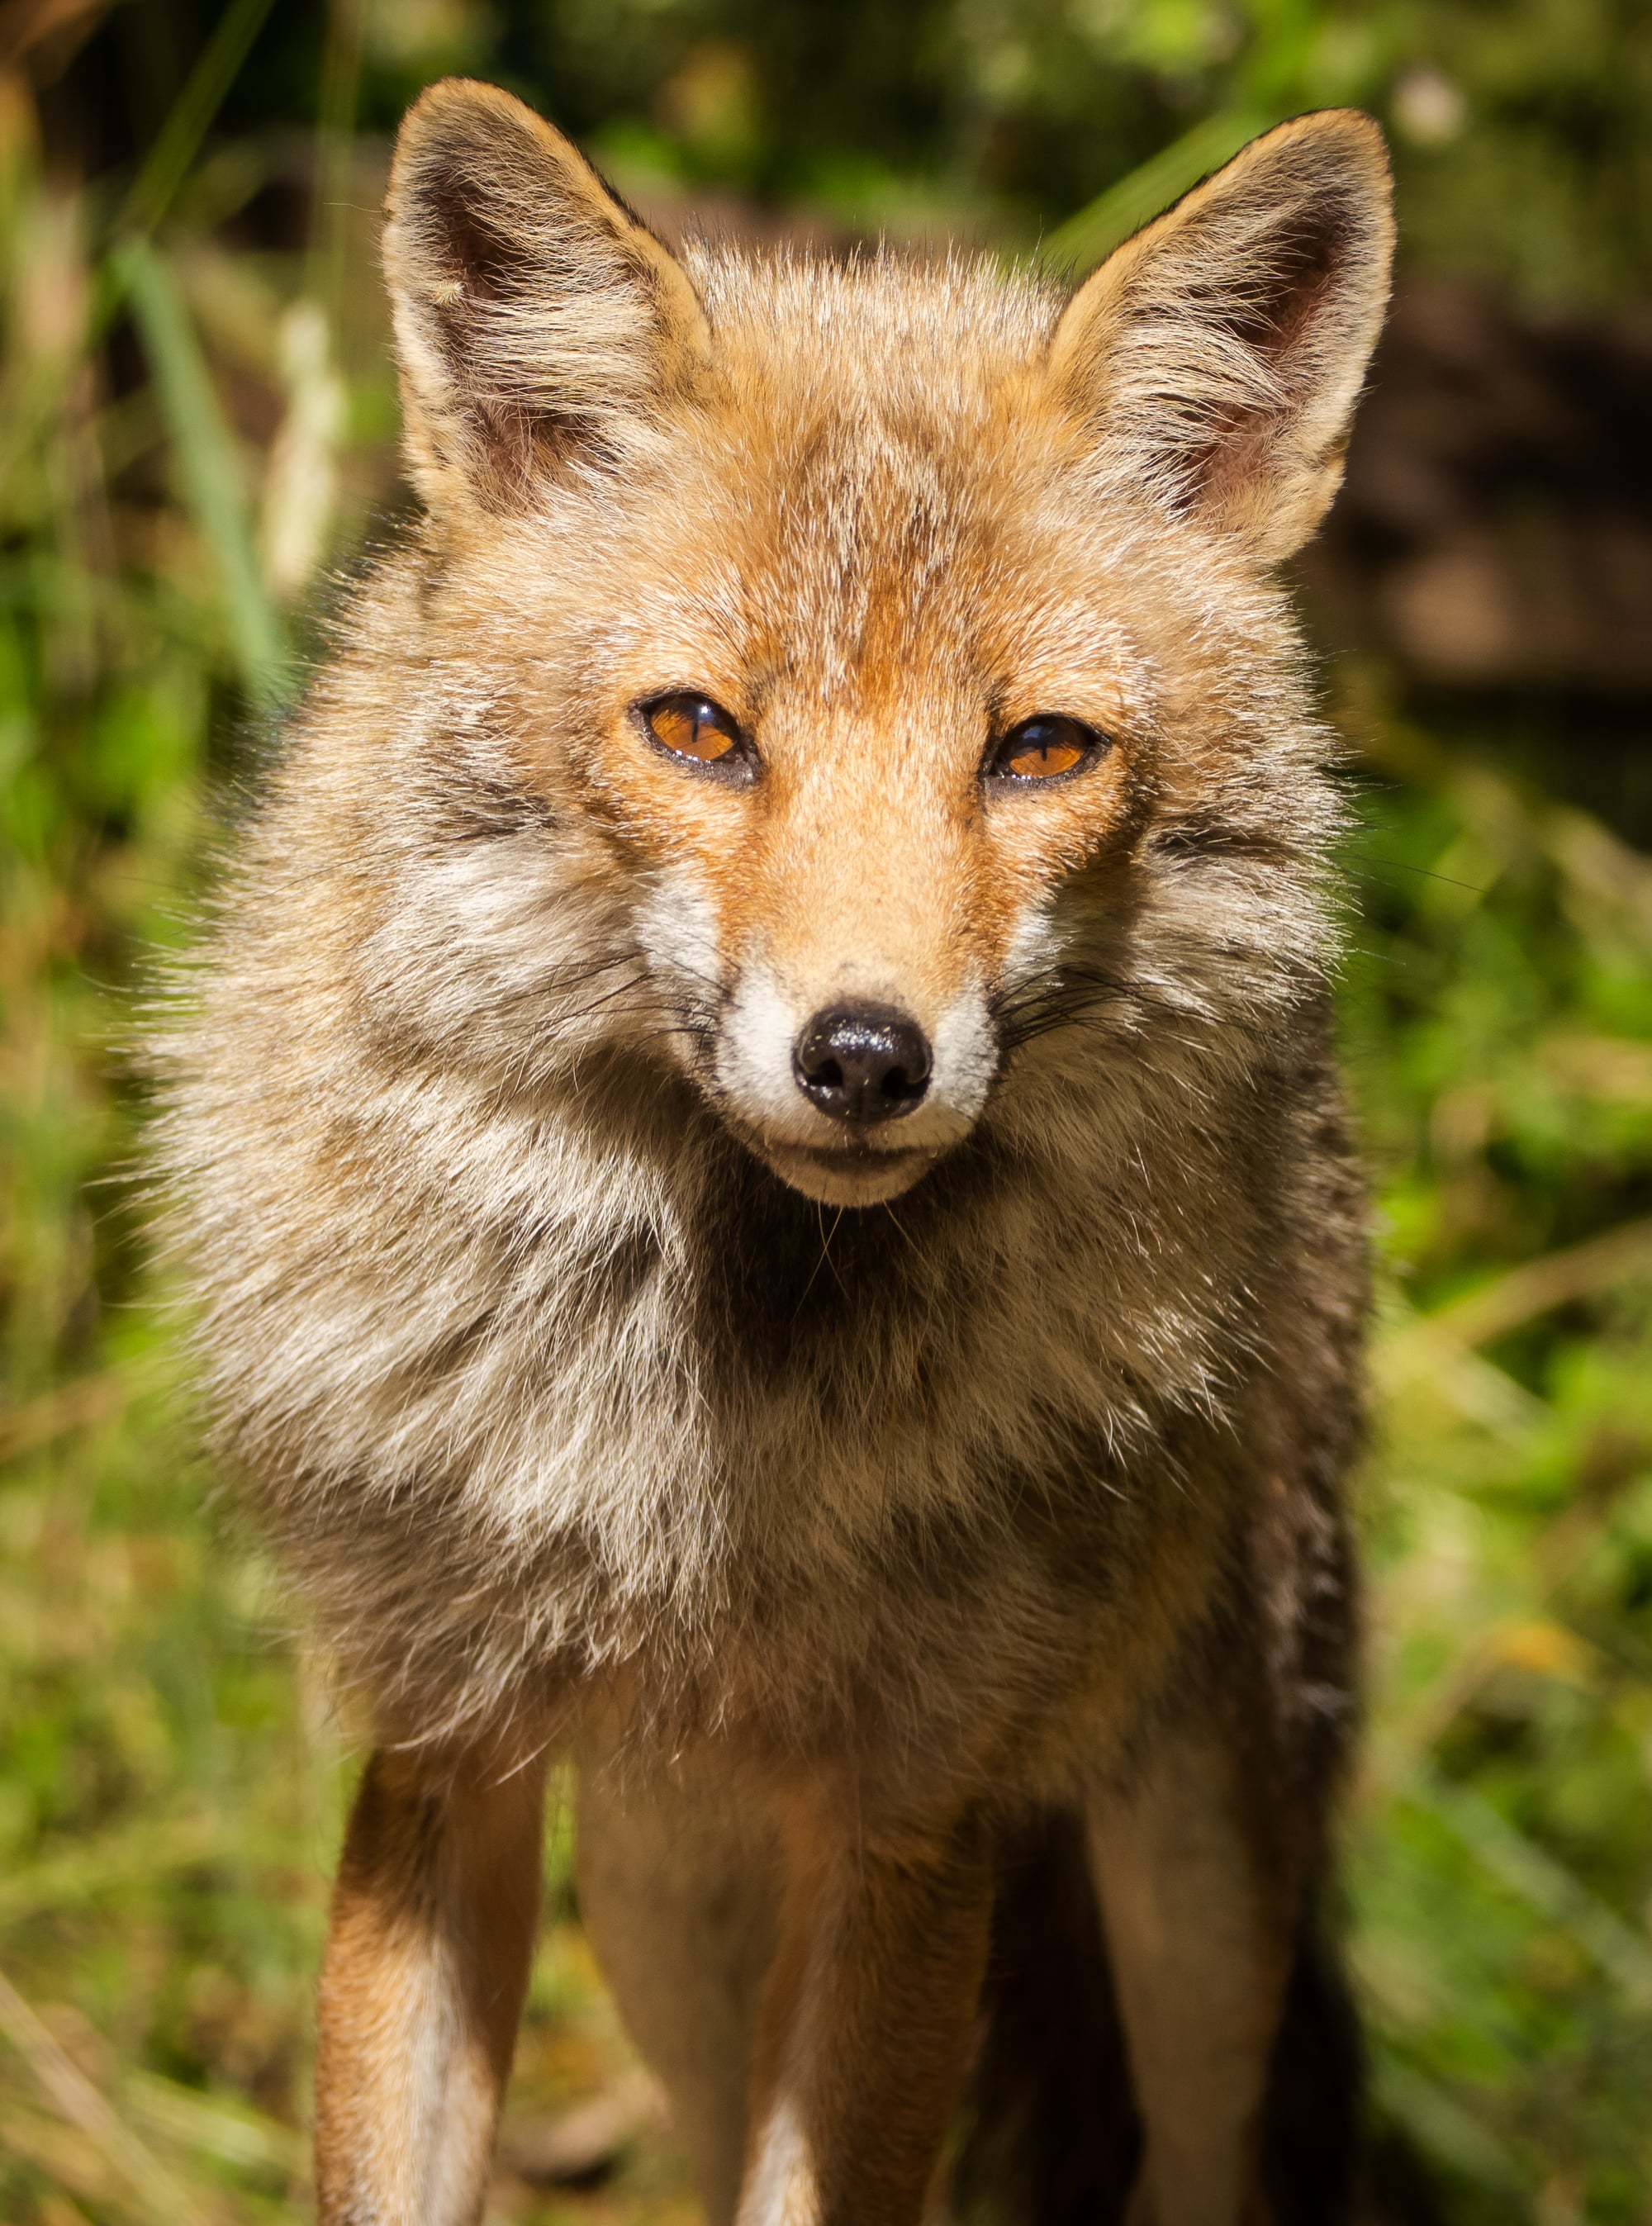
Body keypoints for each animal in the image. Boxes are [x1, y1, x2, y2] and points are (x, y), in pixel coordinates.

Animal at [156, 77, 1394, 2226]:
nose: (865, 1058)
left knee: (1210, 2151)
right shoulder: (444, 1748)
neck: (711, 1437)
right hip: (669, 1915)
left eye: (1040, 751)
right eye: (697, 731)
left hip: (1197, 1872)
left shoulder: (916, 1818)